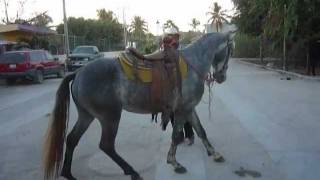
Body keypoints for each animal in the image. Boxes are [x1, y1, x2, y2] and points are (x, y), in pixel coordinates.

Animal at [43, 32, 232, 180]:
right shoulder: (181, 110)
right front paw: (174, 163)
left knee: (72, 139)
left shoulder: (189, 108)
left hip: (87, 115)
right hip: (110, 117)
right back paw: (131, 171)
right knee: (106, 145)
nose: (222, 77)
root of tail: (78, 72)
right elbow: (176, 136)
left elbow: (201, 130)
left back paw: (68, 173)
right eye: (230, 50)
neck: (193, 62)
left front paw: (214, 153)